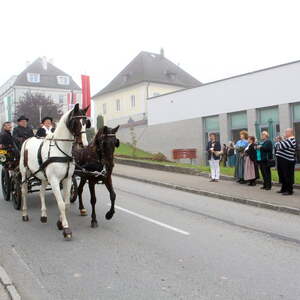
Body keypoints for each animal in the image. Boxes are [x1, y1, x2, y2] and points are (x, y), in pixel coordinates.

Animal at [18, 104, 88, 240]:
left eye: (86, 123)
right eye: (76, 122)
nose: (84, 144)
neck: (60, 150)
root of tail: (28, 139)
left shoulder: (67, 179)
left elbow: (66, 203)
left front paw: (60, 222)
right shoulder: (55, 180)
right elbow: (60, 203)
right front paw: (66, 228)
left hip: (43, 176)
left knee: (41, 192)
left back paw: (43, 216)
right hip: (25, 173)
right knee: (23, 190)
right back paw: (24, 214)